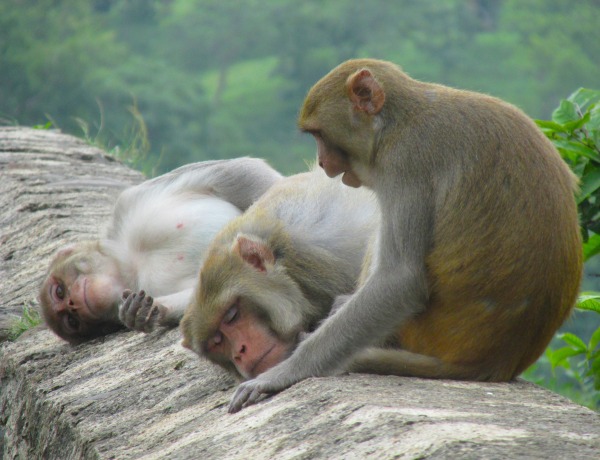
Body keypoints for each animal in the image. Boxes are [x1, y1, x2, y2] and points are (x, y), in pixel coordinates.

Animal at [39, 157, 282, 342]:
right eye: (72, 320)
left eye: (59, 291)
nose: (73, 303)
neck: (129, 263)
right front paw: (143, 311)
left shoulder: (131, 201)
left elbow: (236, 173)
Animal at [227, 57, 584, 414]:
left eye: (319, 134)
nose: (323, 162)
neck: (395, 125)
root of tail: (495, 362)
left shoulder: (404, 164)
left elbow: (400, 281)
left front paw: (284, 372)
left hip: (426, 332)